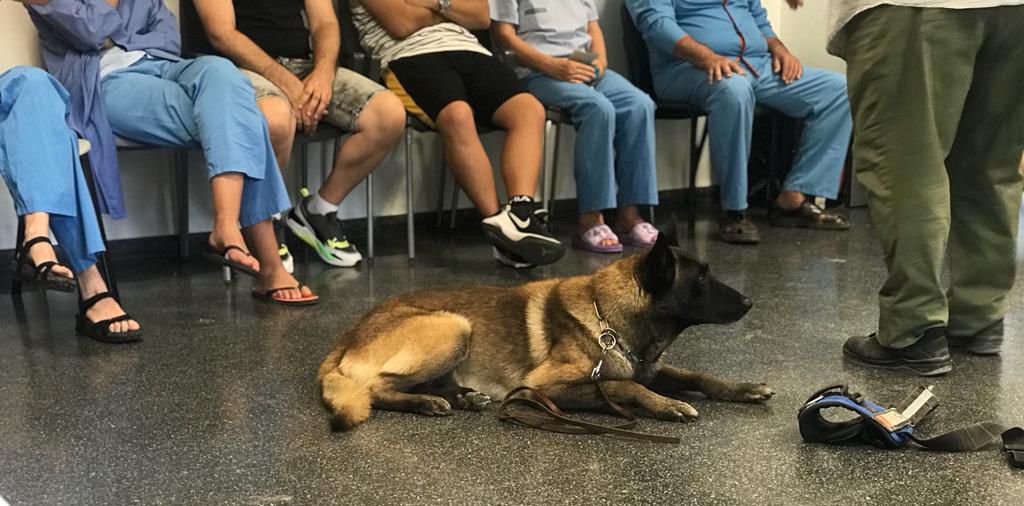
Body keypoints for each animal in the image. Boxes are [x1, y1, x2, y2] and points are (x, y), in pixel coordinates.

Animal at [315, 231, 770, 428]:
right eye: (702, 279)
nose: (751, 302)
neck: (606, 320)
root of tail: (345, 337)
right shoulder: (546, 387)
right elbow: (624, 387)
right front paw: (666, 405)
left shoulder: (651, 367)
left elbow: (699, 376)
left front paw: (744, 389)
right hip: (453, 326)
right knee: (377, 388)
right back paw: (426, 403)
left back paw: (462, 397)